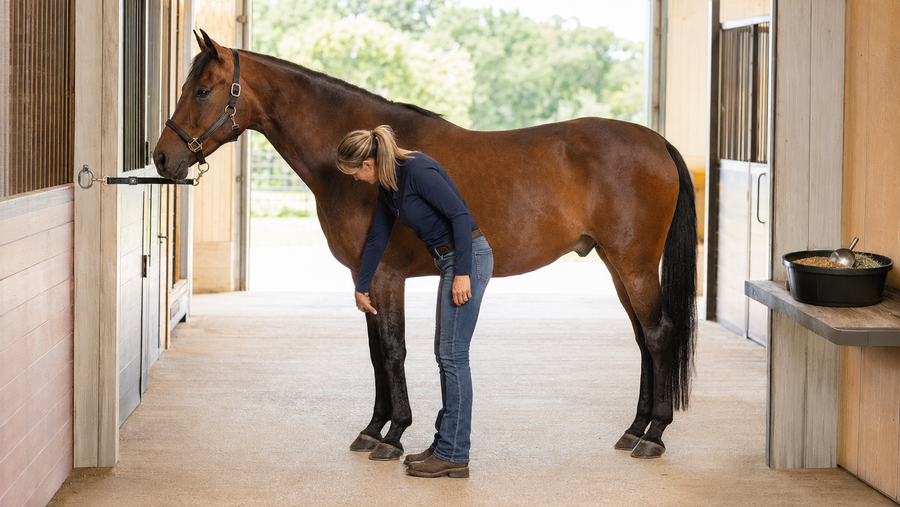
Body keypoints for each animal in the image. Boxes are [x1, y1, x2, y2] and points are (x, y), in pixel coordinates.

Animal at [154, 30, 697, 460]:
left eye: (202, 90)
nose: (161, 157)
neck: (368, 162)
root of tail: (658, 143)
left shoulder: (386, 275)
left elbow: (393, 350)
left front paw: (393, 435)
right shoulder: (365, 277)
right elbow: (376, 352)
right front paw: (372, 429)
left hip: (634, 266)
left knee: (659, 335)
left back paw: (653, 435)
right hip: (617, 266)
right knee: (643, 340)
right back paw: (633, 429)